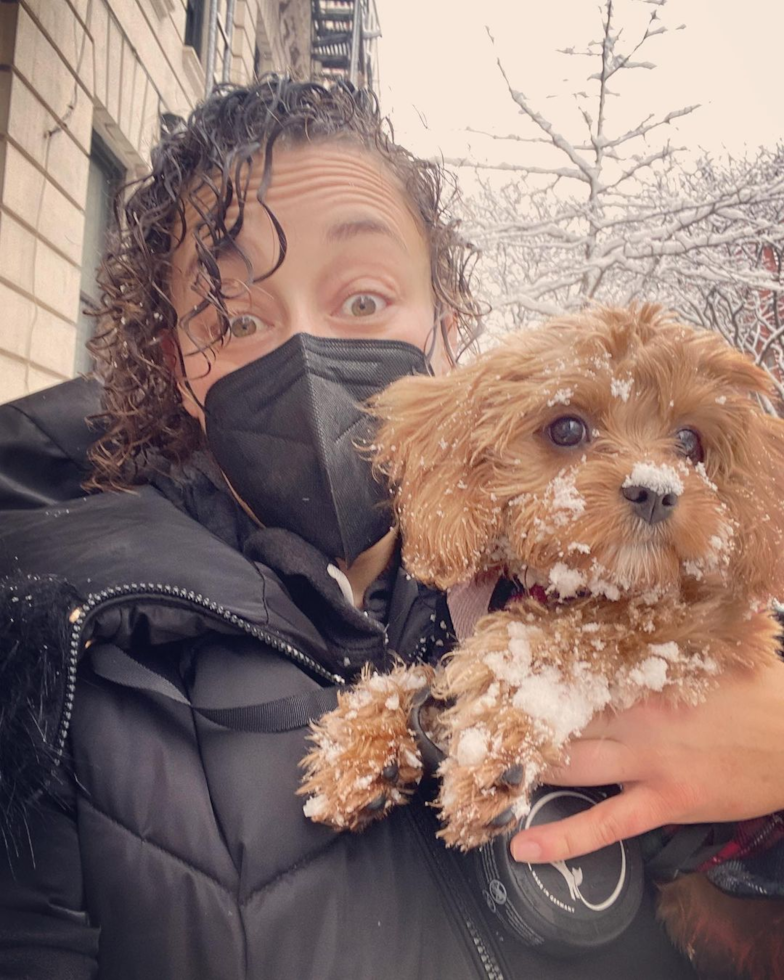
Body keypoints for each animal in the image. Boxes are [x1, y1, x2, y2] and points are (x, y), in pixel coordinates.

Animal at [298, 304, 784, 972]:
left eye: (691, 441)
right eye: (567, 428)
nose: (657, 489)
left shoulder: (714, 631)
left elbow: (579, 629)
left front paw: (498, 740)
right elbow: (430, 677)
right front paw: (361, 749)